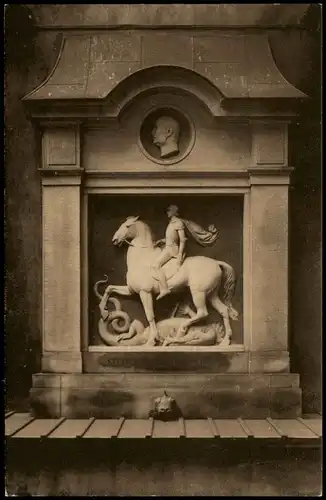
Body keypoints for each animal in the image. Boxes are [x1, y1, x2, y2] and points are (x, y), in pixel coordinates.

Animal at [98, 215, 238, 348]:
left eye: (127, 226)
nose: (115, 240)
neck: (142, 260)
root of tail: (216, 263)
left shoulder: (145, 292)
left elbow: (150, 315)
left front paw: (152, 341)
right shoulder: (131, 290)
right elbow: (109, 288)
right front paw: (104, 312)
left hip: (198, 293)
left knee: (203, 312)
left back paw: (182, 330)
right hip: (211, 294)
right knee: (224, 310)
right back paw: (225, 342)